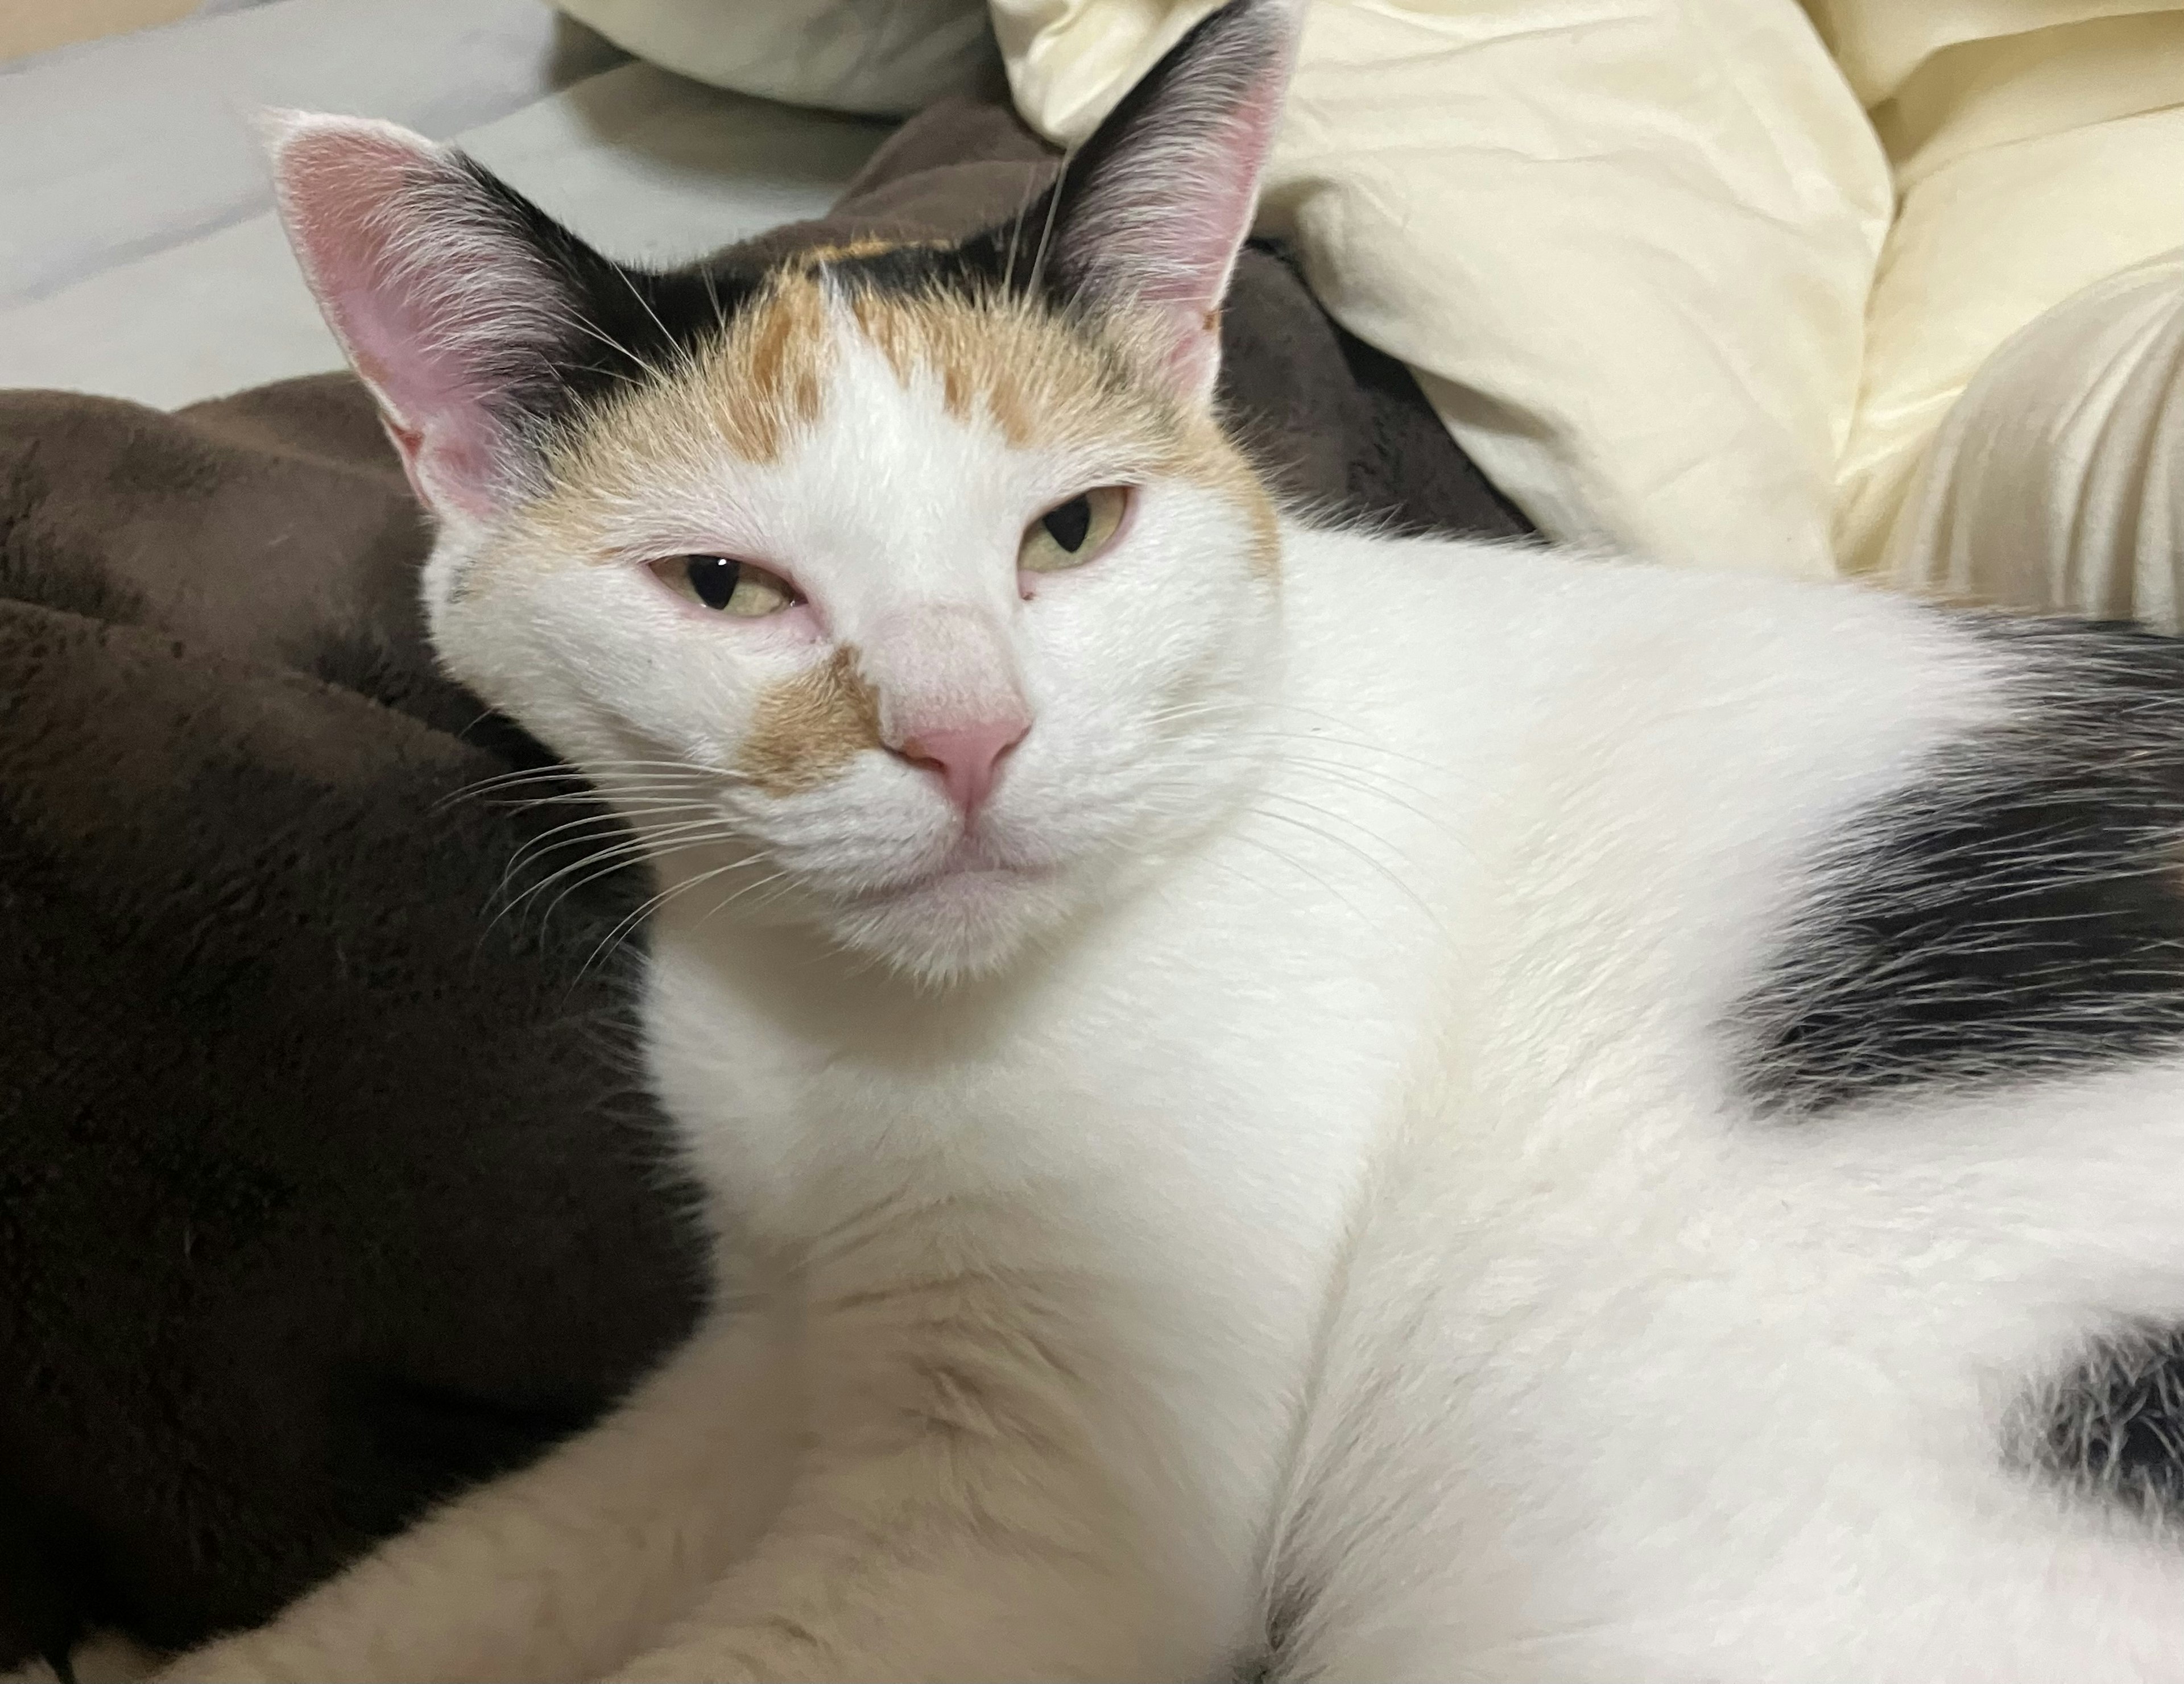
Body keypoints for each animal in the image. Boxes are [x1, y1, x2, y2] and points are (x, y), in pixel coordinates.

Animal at [162, 6, 2184, 1677]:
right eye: (725, 588)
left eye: (1074, 531)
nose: (965, 734)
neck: (857, 1031)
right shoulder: (769, 1345)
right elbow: (484, 1568)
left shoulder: (1026, 1511)